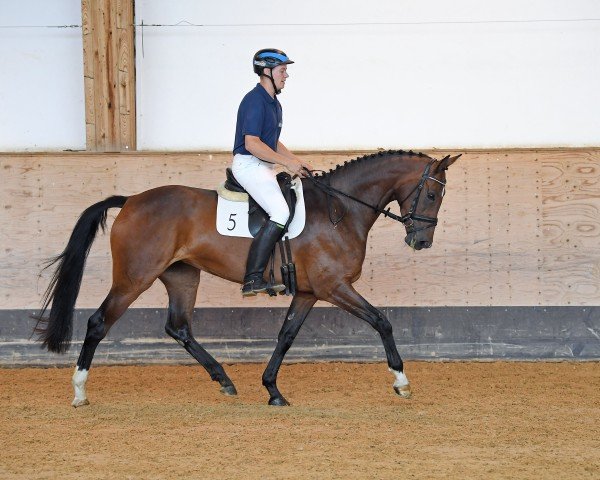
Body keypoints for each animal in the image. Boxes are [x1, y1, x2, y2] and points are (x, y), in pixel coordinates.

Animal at [32, 149, 460, 404]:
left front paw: (272, 389)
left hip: (182, 277)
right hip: (134, 278)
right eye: (432, 195)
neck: (341, 209)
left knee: (179, 327)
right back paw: (79, 390)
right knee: (98, 322)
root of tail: (132, 200)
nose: (421, 241)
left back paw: (224, 379)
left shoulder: (309, 292)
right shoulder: (335, 287)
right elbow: (382, 321)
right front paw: (401, 381)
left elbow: (286, 336)